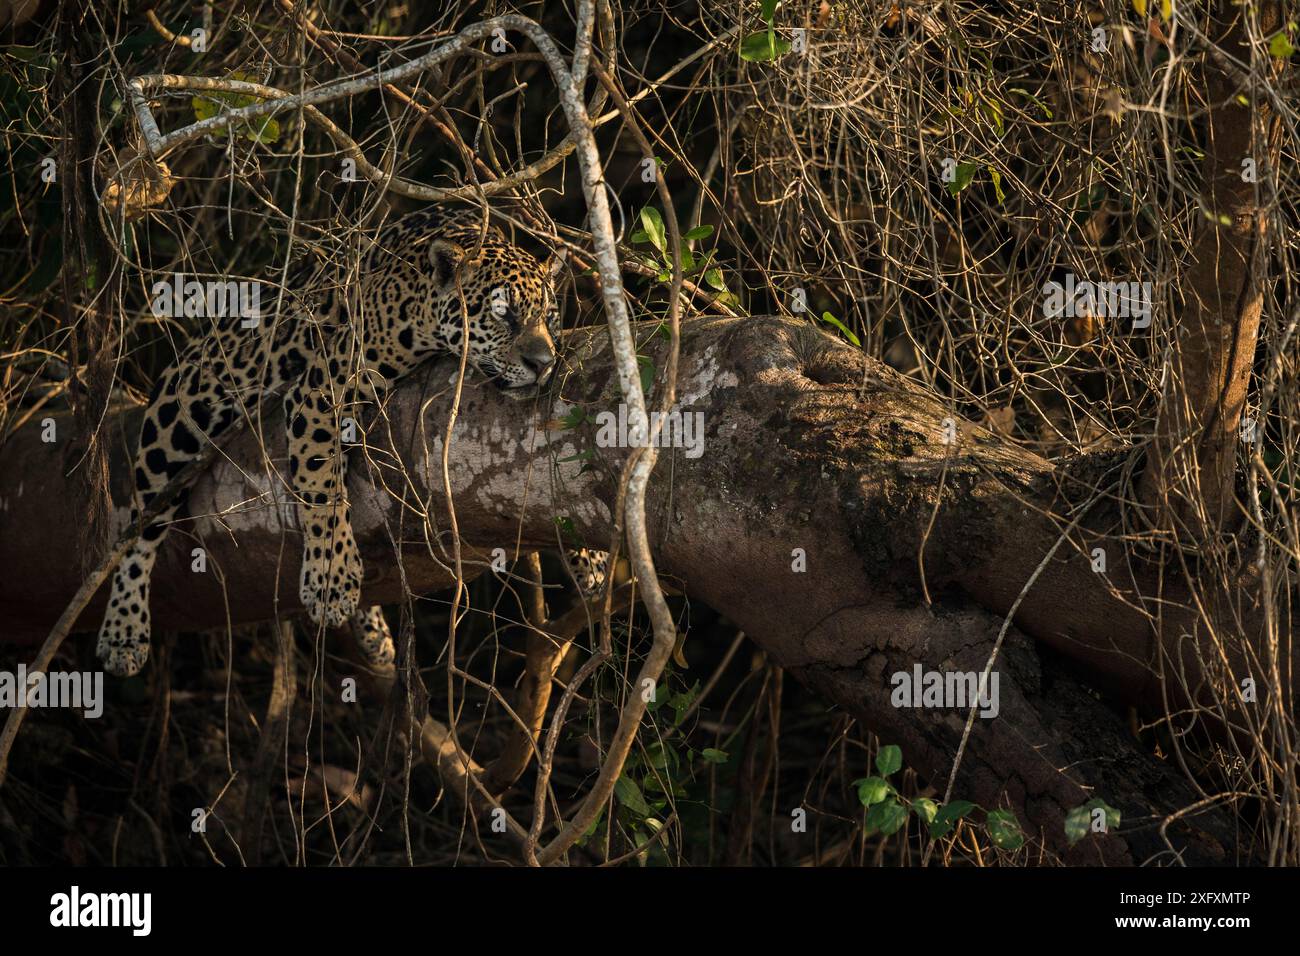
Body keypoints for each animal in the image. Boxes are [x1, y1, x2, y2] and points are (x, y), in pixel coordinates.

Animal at [97, 205, 608, 677]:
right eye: (504, 315)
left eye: (550, 317)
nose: (543, 362)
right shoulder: (322, 390)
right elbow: (321, 484)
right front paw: (330, 577)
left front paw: (592, 558)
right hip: (180, 414)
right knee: (139, 532)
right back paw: (123, 632)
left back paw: (376, 636)